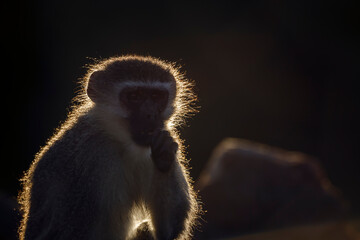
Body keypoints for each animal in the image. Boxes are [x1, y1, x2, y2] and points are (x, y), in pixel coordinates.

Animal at [18, 55, 200, 239]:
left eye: (156, 96)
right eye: (134, 96)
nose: (150, 114)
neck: (118, 141)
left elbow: (167, 231)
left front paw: (164, 155)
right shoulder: (90, 159)